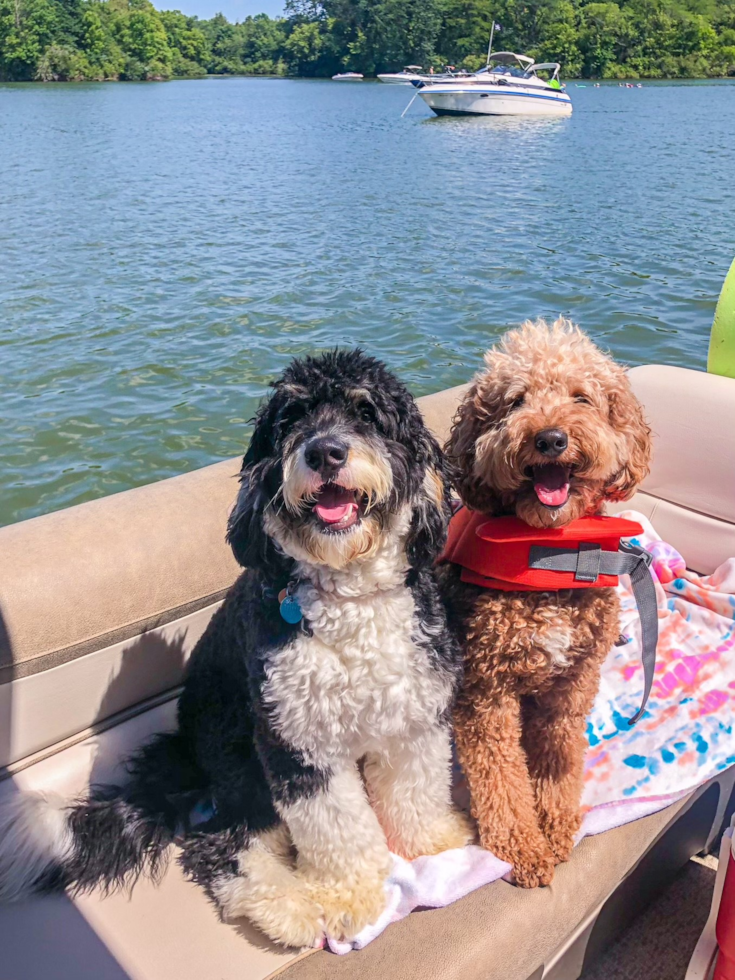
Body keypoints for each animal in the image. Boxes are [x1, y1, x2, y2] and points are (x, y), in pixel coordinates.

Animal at [0, 348, 472, 944]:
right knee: (219, 844)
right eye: (291, 421)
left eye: (367, 414)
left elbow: (415, 789)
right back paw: (288, 907)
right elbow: (338, 829)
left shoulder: (414, 715)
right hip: (238, 751)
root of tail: (185, 749)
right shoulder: (294, 741)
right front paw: (351, 896)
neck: (349, 594)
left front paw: (432, 844)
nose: (324, 451)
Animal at [440, 320, 652, 888]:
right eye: (515, 402)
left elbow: (559, 759)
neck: (550, 551)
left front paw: (556, 827)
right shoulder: (485, 694)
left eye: (582, 398)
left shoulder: (570, 685)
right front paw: (523, 846)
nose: (550, 438)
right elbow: (501, 778)